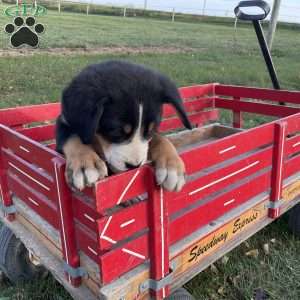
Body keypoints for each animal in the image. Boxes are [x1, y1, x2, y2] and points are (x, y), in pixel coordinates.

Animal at [55, 60, 192, 191]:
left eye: (151, 130)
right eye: (116, 131)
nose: (134, 166)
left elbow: (160, 139)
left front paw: (172, 167)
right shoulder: (65, 121)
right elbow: (73, 138)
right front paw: (85, 164)